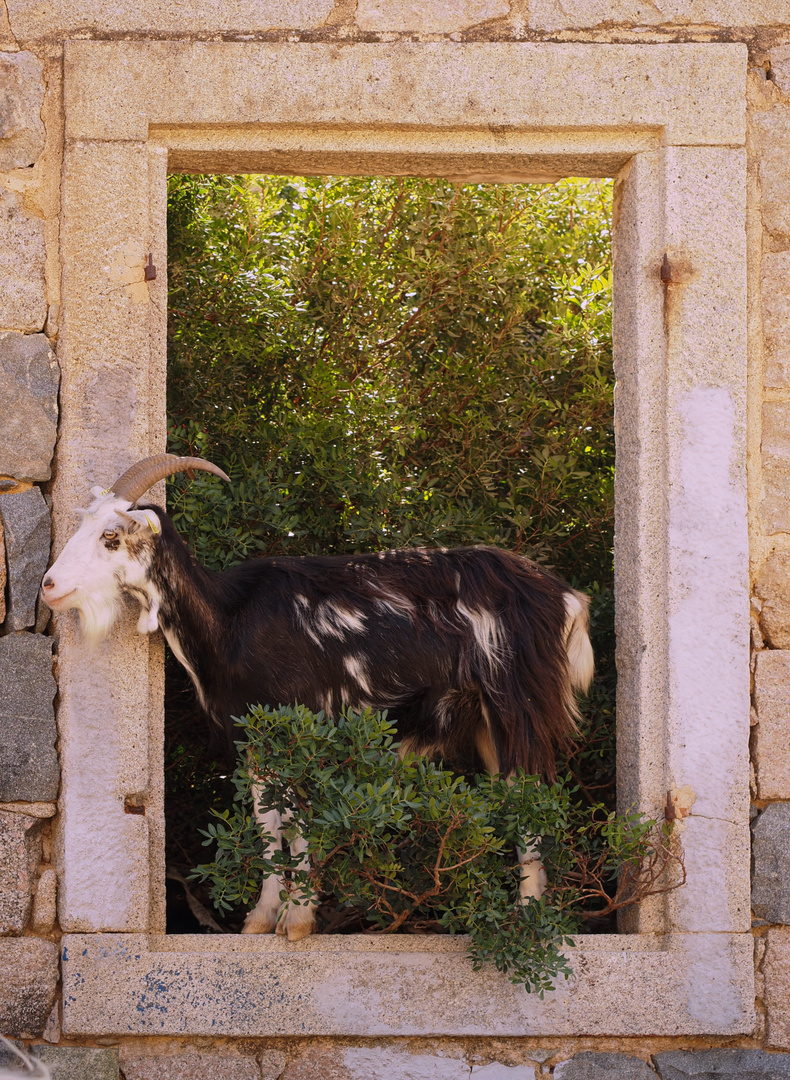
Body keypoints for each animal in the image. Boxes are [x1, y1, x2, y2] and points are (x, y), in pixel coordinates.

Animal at [43, 451, 596, 941]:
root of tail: (568, 599)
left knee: (532, 802)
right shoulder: (255, 741)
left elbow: (301, 822)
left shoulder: (301, 729)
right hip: (485, 722)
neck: (230, 623)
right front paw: (261, 920)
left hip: (517, 706)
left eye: (111, 537)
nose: (49, 585)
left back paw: (527, 923)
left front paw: (299, 923)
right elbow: (269, 826)